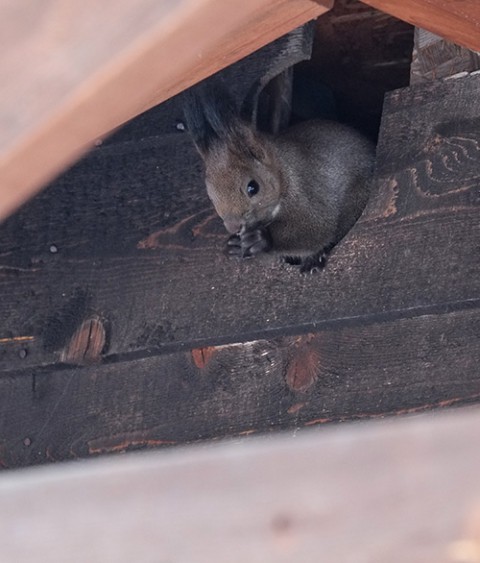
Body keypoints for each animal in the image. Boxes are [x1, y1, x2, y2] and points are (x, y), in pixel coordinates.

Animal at [184, 79, 376, 274]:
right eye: (211, 197)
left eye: (253, 187)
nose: (233, 226)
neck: (284, 173)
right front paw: (234, 246)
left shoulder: (308, 192)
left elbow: (316, 228)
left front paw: (261, 239)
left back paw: (314, 259)